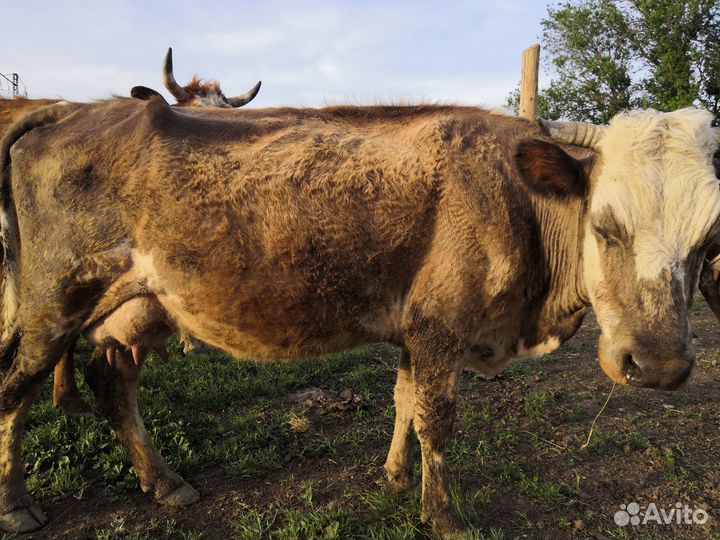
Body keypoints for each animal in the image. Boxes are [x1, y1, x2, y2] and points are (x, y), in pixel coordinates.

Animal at [0, 99, 718, 538]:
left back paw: (164, 480)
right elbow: (435, 420)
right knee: (17, 391)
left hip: (138, 305)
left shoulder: (414, 328)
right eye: (605, 227)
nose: (657, 367)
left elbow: (402, 401)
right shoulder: (440, 328)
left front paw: (396, 480)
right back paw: (16, 504)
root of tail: (72, 109)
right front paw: (444, 516)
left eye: (709, 240)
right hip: (51, 298)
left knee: (112, 381)